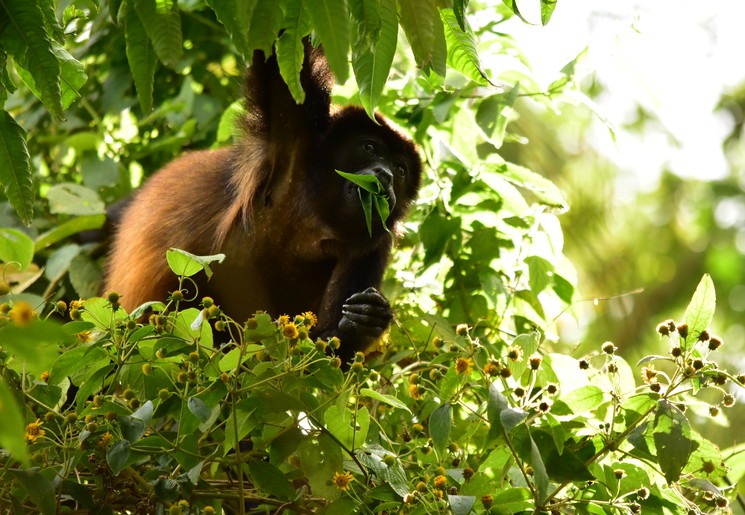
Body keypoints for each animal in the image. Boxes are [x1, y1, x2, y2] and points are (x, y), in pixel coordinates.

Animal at [103, 42, 424, 362]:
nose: (385, 175)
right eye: (370, 147)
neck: (316, 216)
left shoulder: (373, 244)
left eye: (400, 170)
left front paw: (365, 324)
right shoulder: (294, 136)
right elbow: (278, 62)